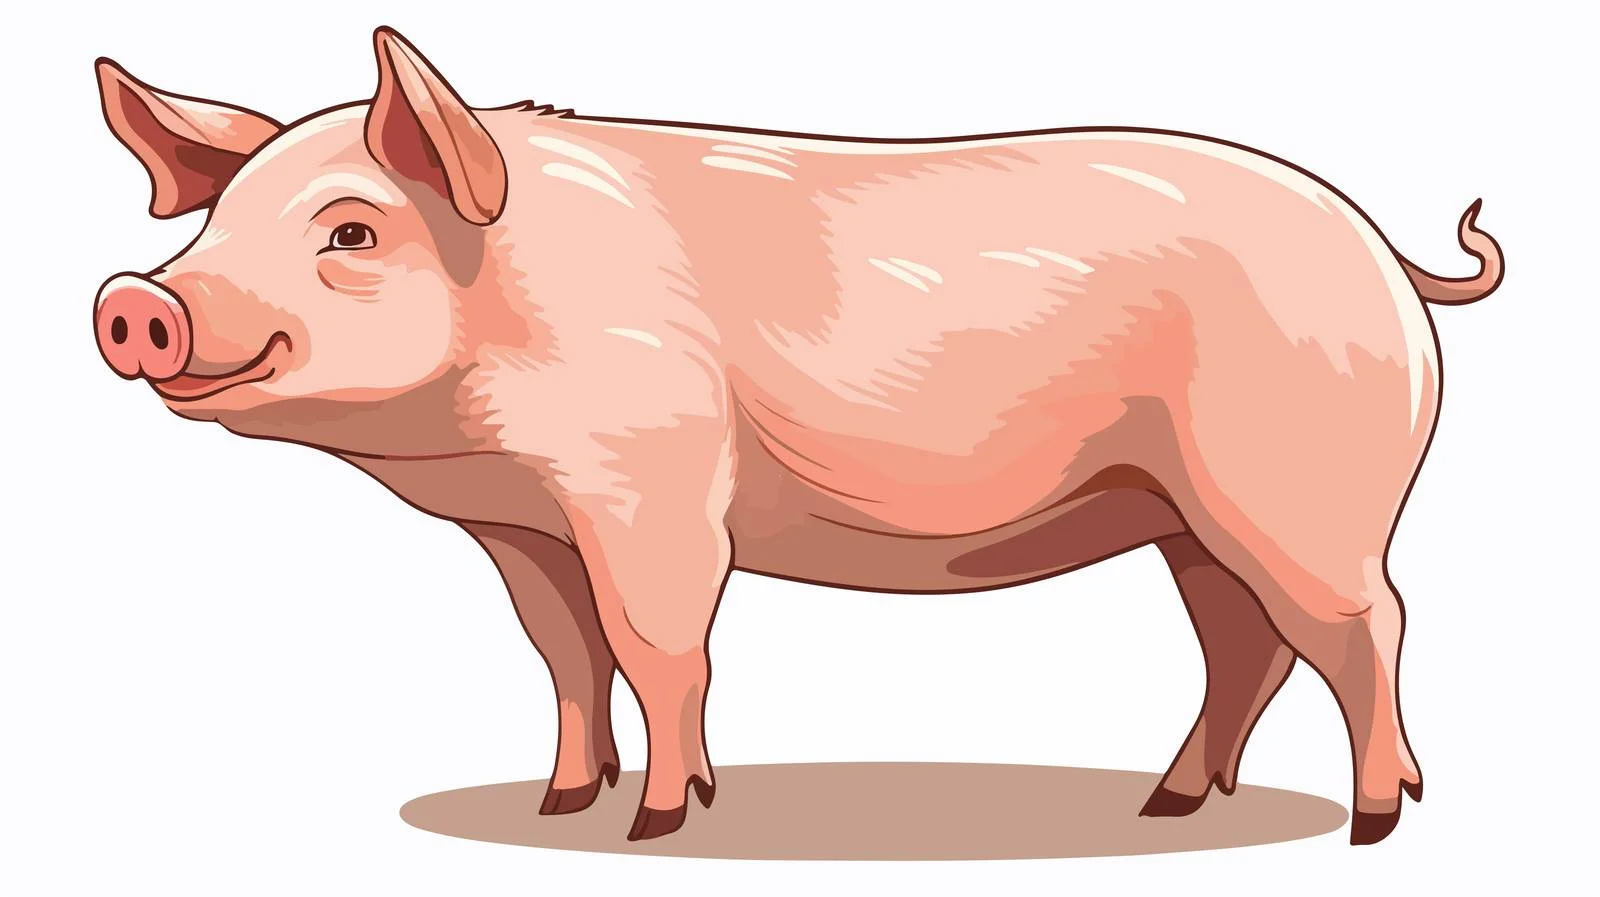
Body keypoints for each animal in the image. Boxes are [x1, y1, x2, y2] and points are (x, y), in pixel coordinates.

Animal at [92, 27, 1502, 846]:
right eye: (213, 224)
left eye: (349, 230)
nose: (135, 301)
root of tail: (1388, 255)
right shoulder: (521, 526)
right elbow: (564, 655)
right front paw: (561, 801)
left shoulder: (650, 485)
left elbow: (660, 647)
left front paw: (659, 825)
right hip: (1185, 512)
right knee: (1244, 644)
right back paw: (1165, 805)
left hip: (1300, 486)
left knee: (1365, 624)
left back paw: (1374, 822)